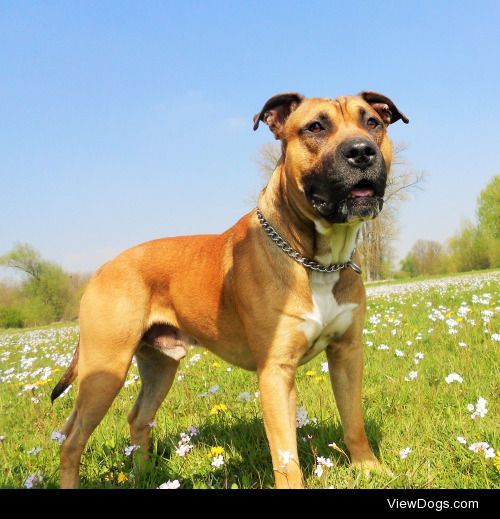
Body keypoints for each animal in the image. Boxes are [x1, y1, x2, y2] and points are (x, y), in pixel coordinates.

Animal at [52, 91, 408, 490]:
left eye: (372, 123)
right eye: (315, 127)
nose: (362, 151)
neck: (315, 258)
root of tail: (102, 269)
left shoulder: (346, 353)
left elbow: (353, 420)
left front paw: (369, 469)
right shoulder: (275, 372)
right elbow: (285, 453)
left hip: (160, 366)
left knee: (138, 417)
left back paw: (144, 475)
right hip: (105, 370)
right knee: (72, 439)